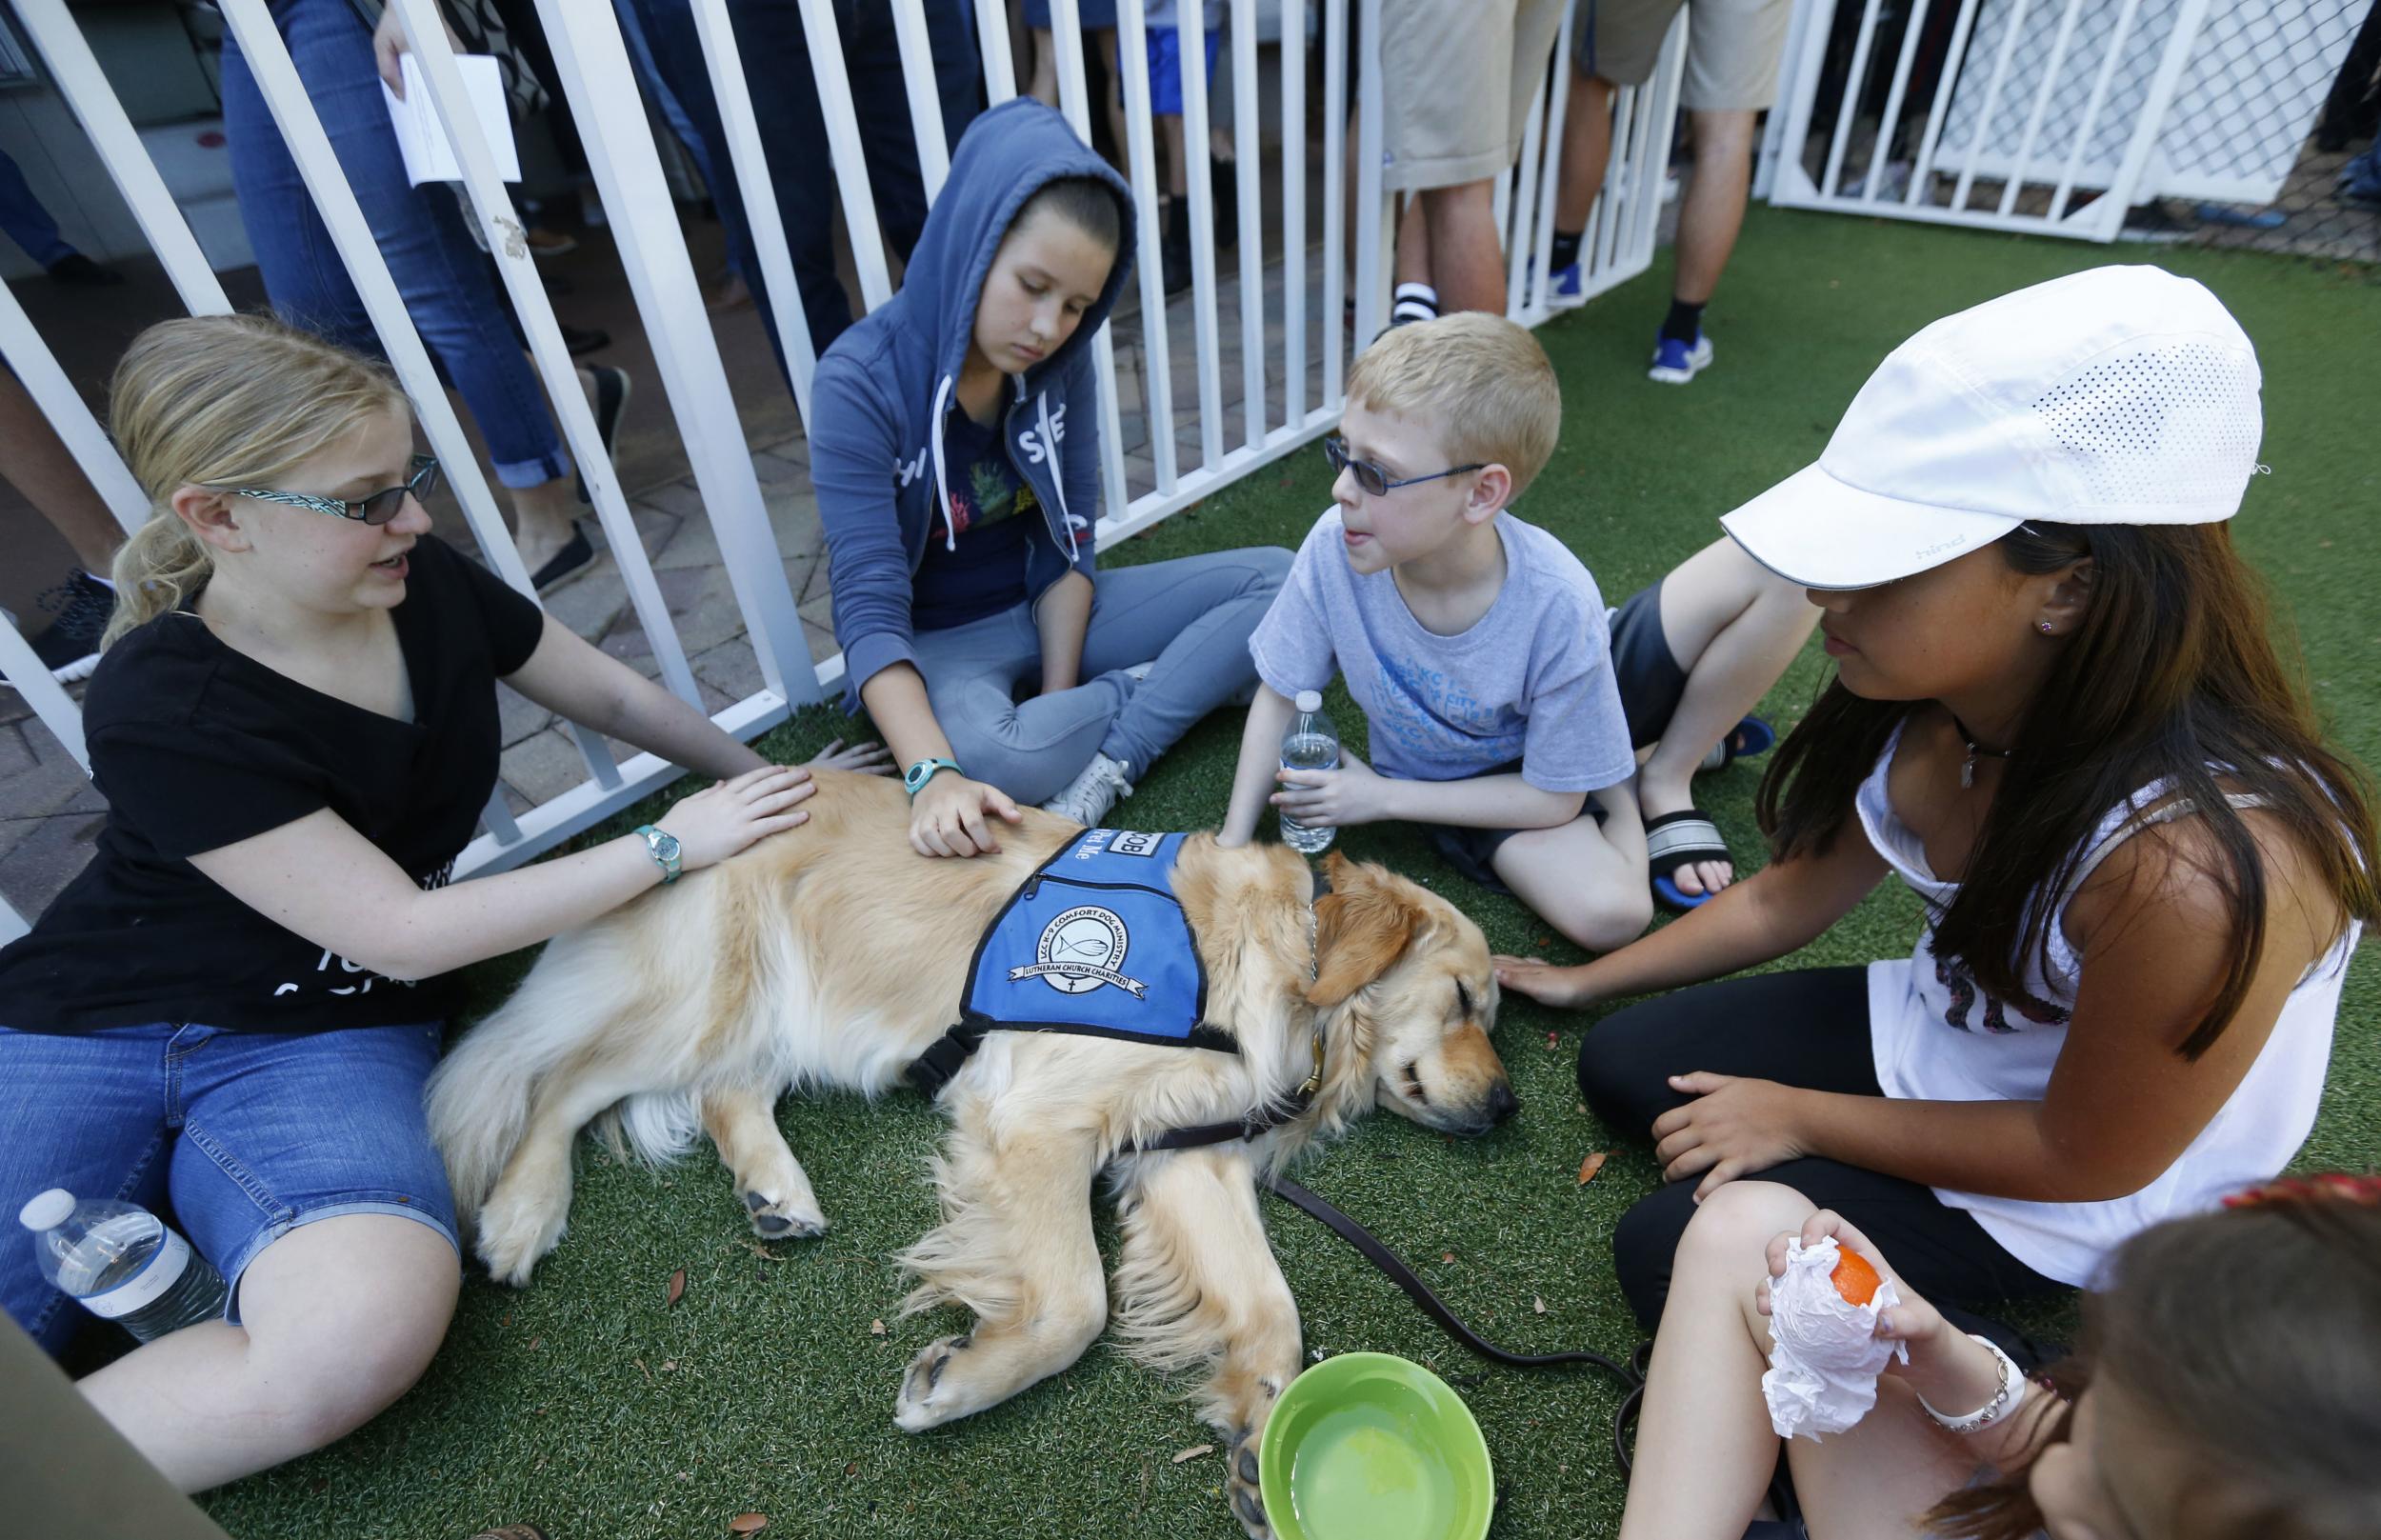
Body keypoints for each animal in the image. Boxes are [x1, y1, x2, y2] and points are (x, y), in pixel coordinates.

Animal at [429, 766, 1505, 1532]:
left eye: (1490, 1014)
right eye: (1463, 1000)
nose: (1504, 1107)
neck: (1286, 962)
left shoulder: (1182, 1151)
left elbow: (1274, 1308)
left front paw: (1259, 1433)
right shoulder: (1037, 1116)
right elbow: (1076, 1302)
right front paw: (956, 1384)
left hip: (773, 1013)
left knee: (725, 1089)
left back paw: (777, 1194)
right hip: (701, 995)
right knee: (558, 1082)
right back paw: (522, 1215)